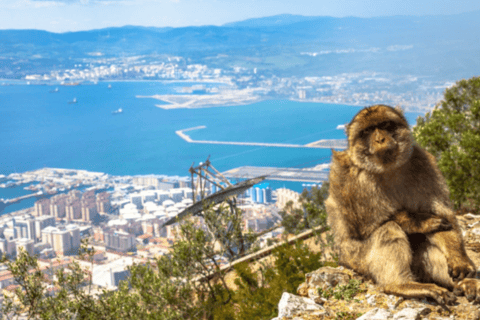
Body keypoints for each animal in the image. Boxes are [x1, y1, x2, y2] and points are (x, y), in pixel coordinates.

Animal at [326, 105, 480, 304]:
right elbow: (362, 225)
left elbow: (445, 218)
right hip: (356, 260)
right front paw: (419, 221)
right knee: (388, 228)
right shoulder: (349, 177)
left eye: (385, 125)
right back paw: (401, 285)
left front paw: (459, 259)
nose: (380, 139)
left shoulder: (424, 163)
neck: (387, 169)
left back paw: (464, 284)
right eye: (367, 131)